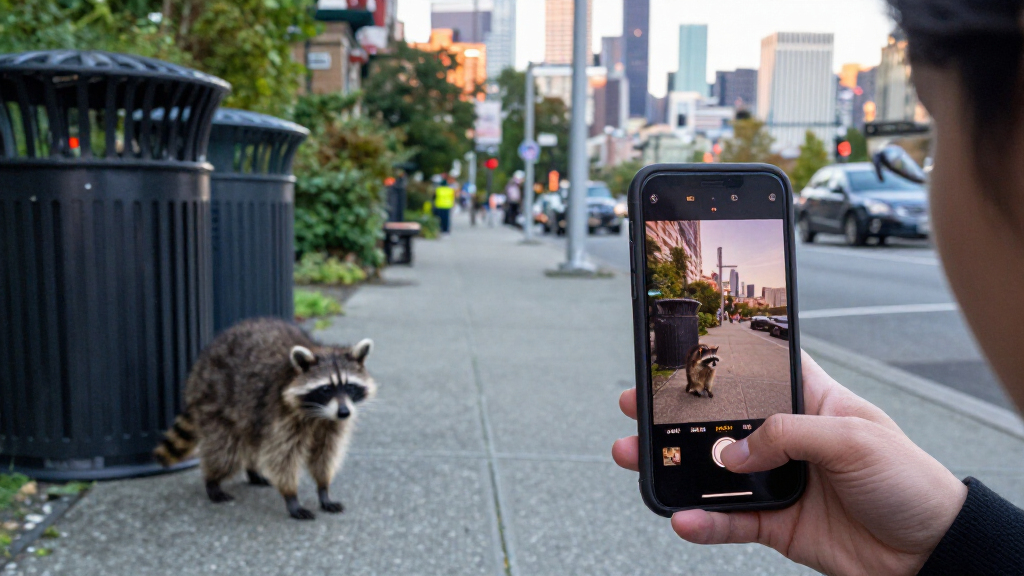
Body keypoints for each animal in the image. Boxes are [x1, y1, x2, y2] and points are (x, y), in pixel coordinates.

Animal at [153, 318, 376, 520]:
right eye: (326, 389)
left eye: (350, 386)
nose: (344, 413)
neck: (319, 414)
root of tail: (201, 363)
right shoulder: (282, 412)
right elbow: (283, 456)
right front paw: (291, 496)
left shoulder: (330, 425)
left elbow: (325, 454)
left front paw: (323, 489)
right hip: (215, 398)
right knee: (225, 450)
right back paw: (212, 481)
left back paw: (252, 472)